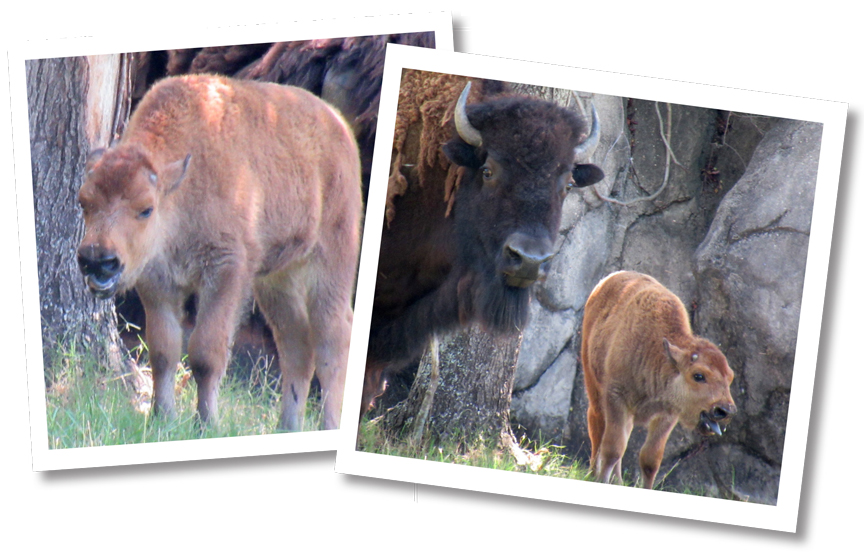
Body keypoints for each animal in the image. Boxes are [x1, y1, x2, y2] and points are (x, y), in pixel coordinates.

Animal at [76, 75, 362, 434]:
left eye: (145, 209)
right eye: (84, 202)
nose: (98, 261)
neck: (182, 187)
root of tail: (339, 126)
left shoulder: (226, 270)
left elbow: (205, 352)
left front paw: (206, 423)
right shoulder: (156, 282)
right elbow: (163, 349)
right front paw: (162, 417)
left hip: (330, 262)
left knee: (332, 338)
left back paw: (328, 426)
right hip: (276, 279)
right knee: (296, 342)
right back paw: (287, 426)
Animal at [580, 272, 736, 490]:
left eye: (730, 377)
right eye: (698, 375)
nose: (725, 410)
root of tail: (606, 280)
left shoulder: (668, 414)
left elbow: (650, 459)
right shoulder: (616, 398)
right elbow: (612, 448)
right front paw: (601, 480)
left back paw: (617, 480)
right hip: (594, 387)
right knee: (597, 426)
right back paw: (593, 473)